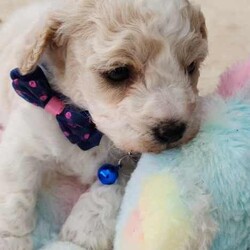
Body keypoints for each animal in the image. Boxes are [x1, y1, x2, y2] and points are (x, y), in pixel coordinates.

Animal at [0, 0, 208, 248]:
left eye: (191, 66)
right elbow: (14, 198)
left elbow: (110, 187)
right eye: (118, 72)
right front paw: (10, 240)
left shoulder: (128, 158)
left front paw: (84, 232)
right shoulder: (22, 144)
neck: (84, 129)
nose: (173, 131)